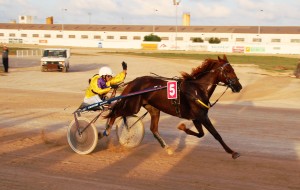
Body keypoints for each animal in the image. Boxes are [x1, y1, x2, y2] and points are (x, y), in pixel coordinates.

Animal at [105, 55, 241, 159]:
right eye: (228, 70)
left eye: (232, 69)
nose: (239, 86)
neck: (197, 89)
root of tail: (133, 82)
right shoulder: (202, 116)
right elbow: (216, 134)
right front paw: (233, 152)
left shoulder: (197, 118)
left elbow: (201, 134)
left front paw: (182, 127)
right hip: (133, 106)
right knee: (115, 112)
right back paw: (106, 131)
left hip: (153, 109)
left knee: (153, 129)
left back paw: (168, 148)